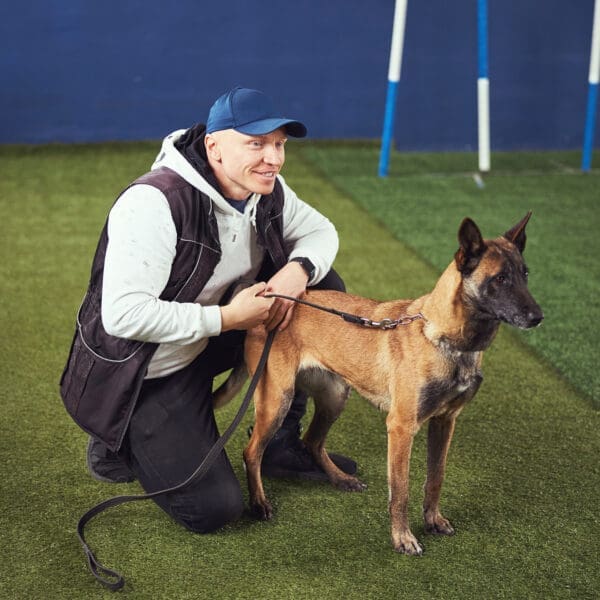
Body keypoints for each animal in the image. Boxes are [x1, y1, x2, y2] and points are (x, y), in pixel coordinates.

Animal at [214, 213, 544, 556]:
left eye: (525, 274)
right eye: (500, 279)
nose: (538, 317)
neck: (443, 339)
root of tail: (270, 299)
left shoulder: (445, 422)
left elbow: (435, 477)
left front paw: (433, 520)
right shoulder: (401, 427)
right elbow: (400, 490)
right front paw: (403, 537)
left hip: (334, 396)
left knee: (312, 441)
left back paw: (341, 479)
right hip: (277, 399)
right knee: (252, 451)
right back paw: (259, 502)